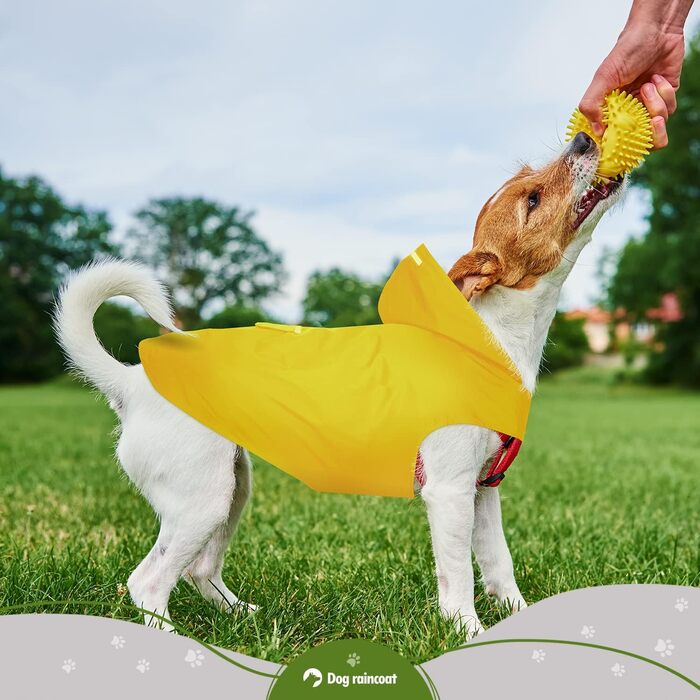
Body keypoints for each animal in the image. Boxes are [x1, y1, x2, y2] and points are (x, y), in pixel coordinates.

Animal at [54, 133, 624, 640]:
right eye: (533, 199)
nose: (583, 138)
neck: (496, 339)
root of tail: (130, 382)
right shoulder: (450, 492)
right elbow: (459, 578)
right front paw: (469, 632)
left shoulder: (484, 491)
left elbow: (500, 568)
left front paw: (521, 617)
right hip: (202, 500)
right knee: (148, 582)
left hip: (231, 488)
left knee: (197, 570)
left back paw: (241, 616)